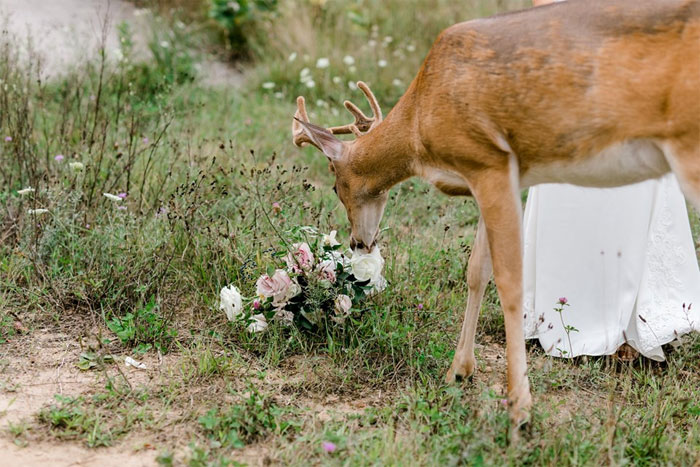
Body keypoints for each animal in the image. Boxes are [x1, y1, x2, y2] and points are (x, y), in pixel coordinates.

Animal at [291, 0, 700, 434]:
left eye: (336, 188)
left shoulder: (486, 159)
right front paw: (458, 371)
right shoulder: (494, 173)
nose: (357, 241)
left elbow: (509, 280)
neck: (420, 122)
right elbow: (477, 270)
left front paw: (519, 406)